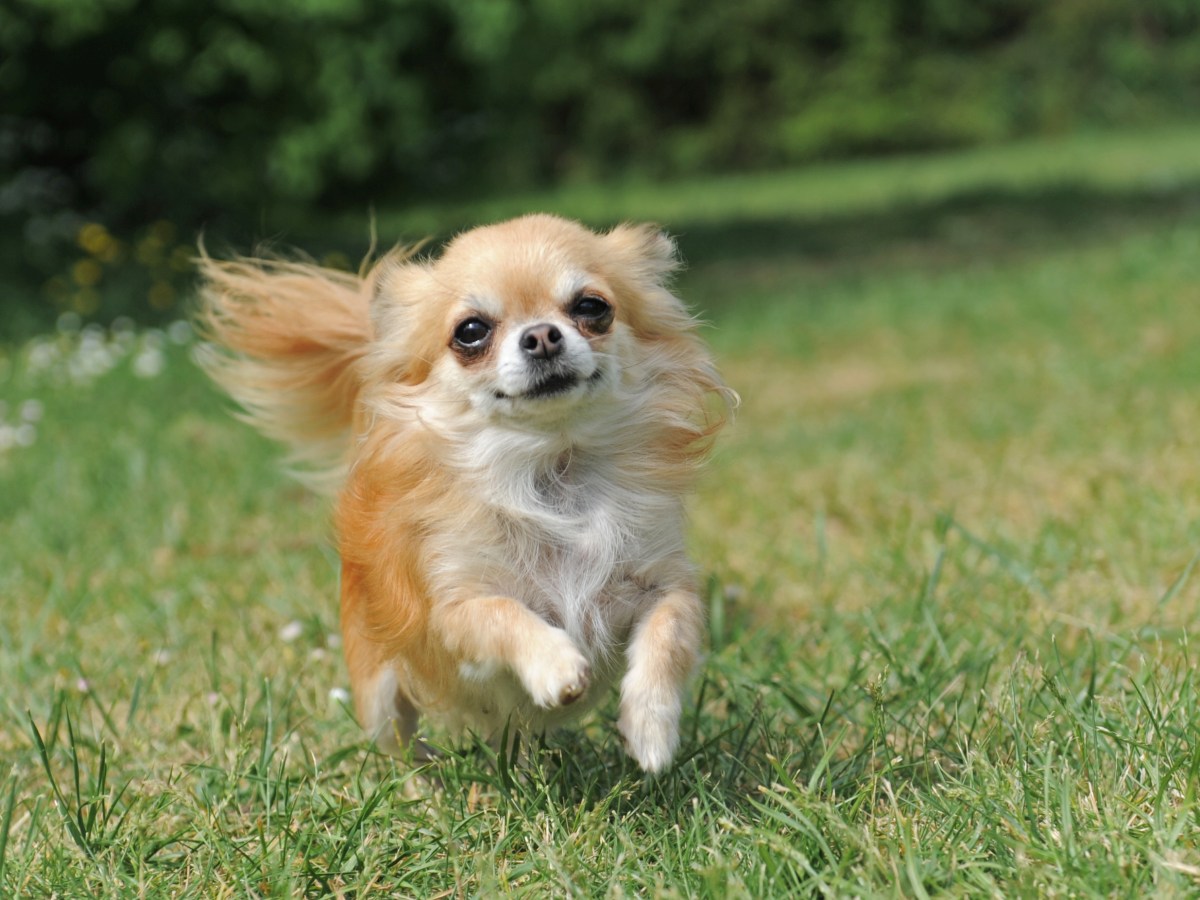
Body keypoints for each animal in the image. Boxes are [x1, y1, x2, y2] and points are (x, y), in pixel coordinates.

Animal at [199, 214, 729, 772]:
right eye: (471, 332)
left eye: (592, 307)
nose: (542, 335)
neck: (552, 468)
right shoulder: (453, 611)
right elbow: (504, 614)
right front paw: (557, 665)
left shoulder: (663, 583)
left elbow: (668, 634)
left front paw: (651, 730)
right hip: (379, 691)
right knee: (397, 740)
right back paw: (429, 774)